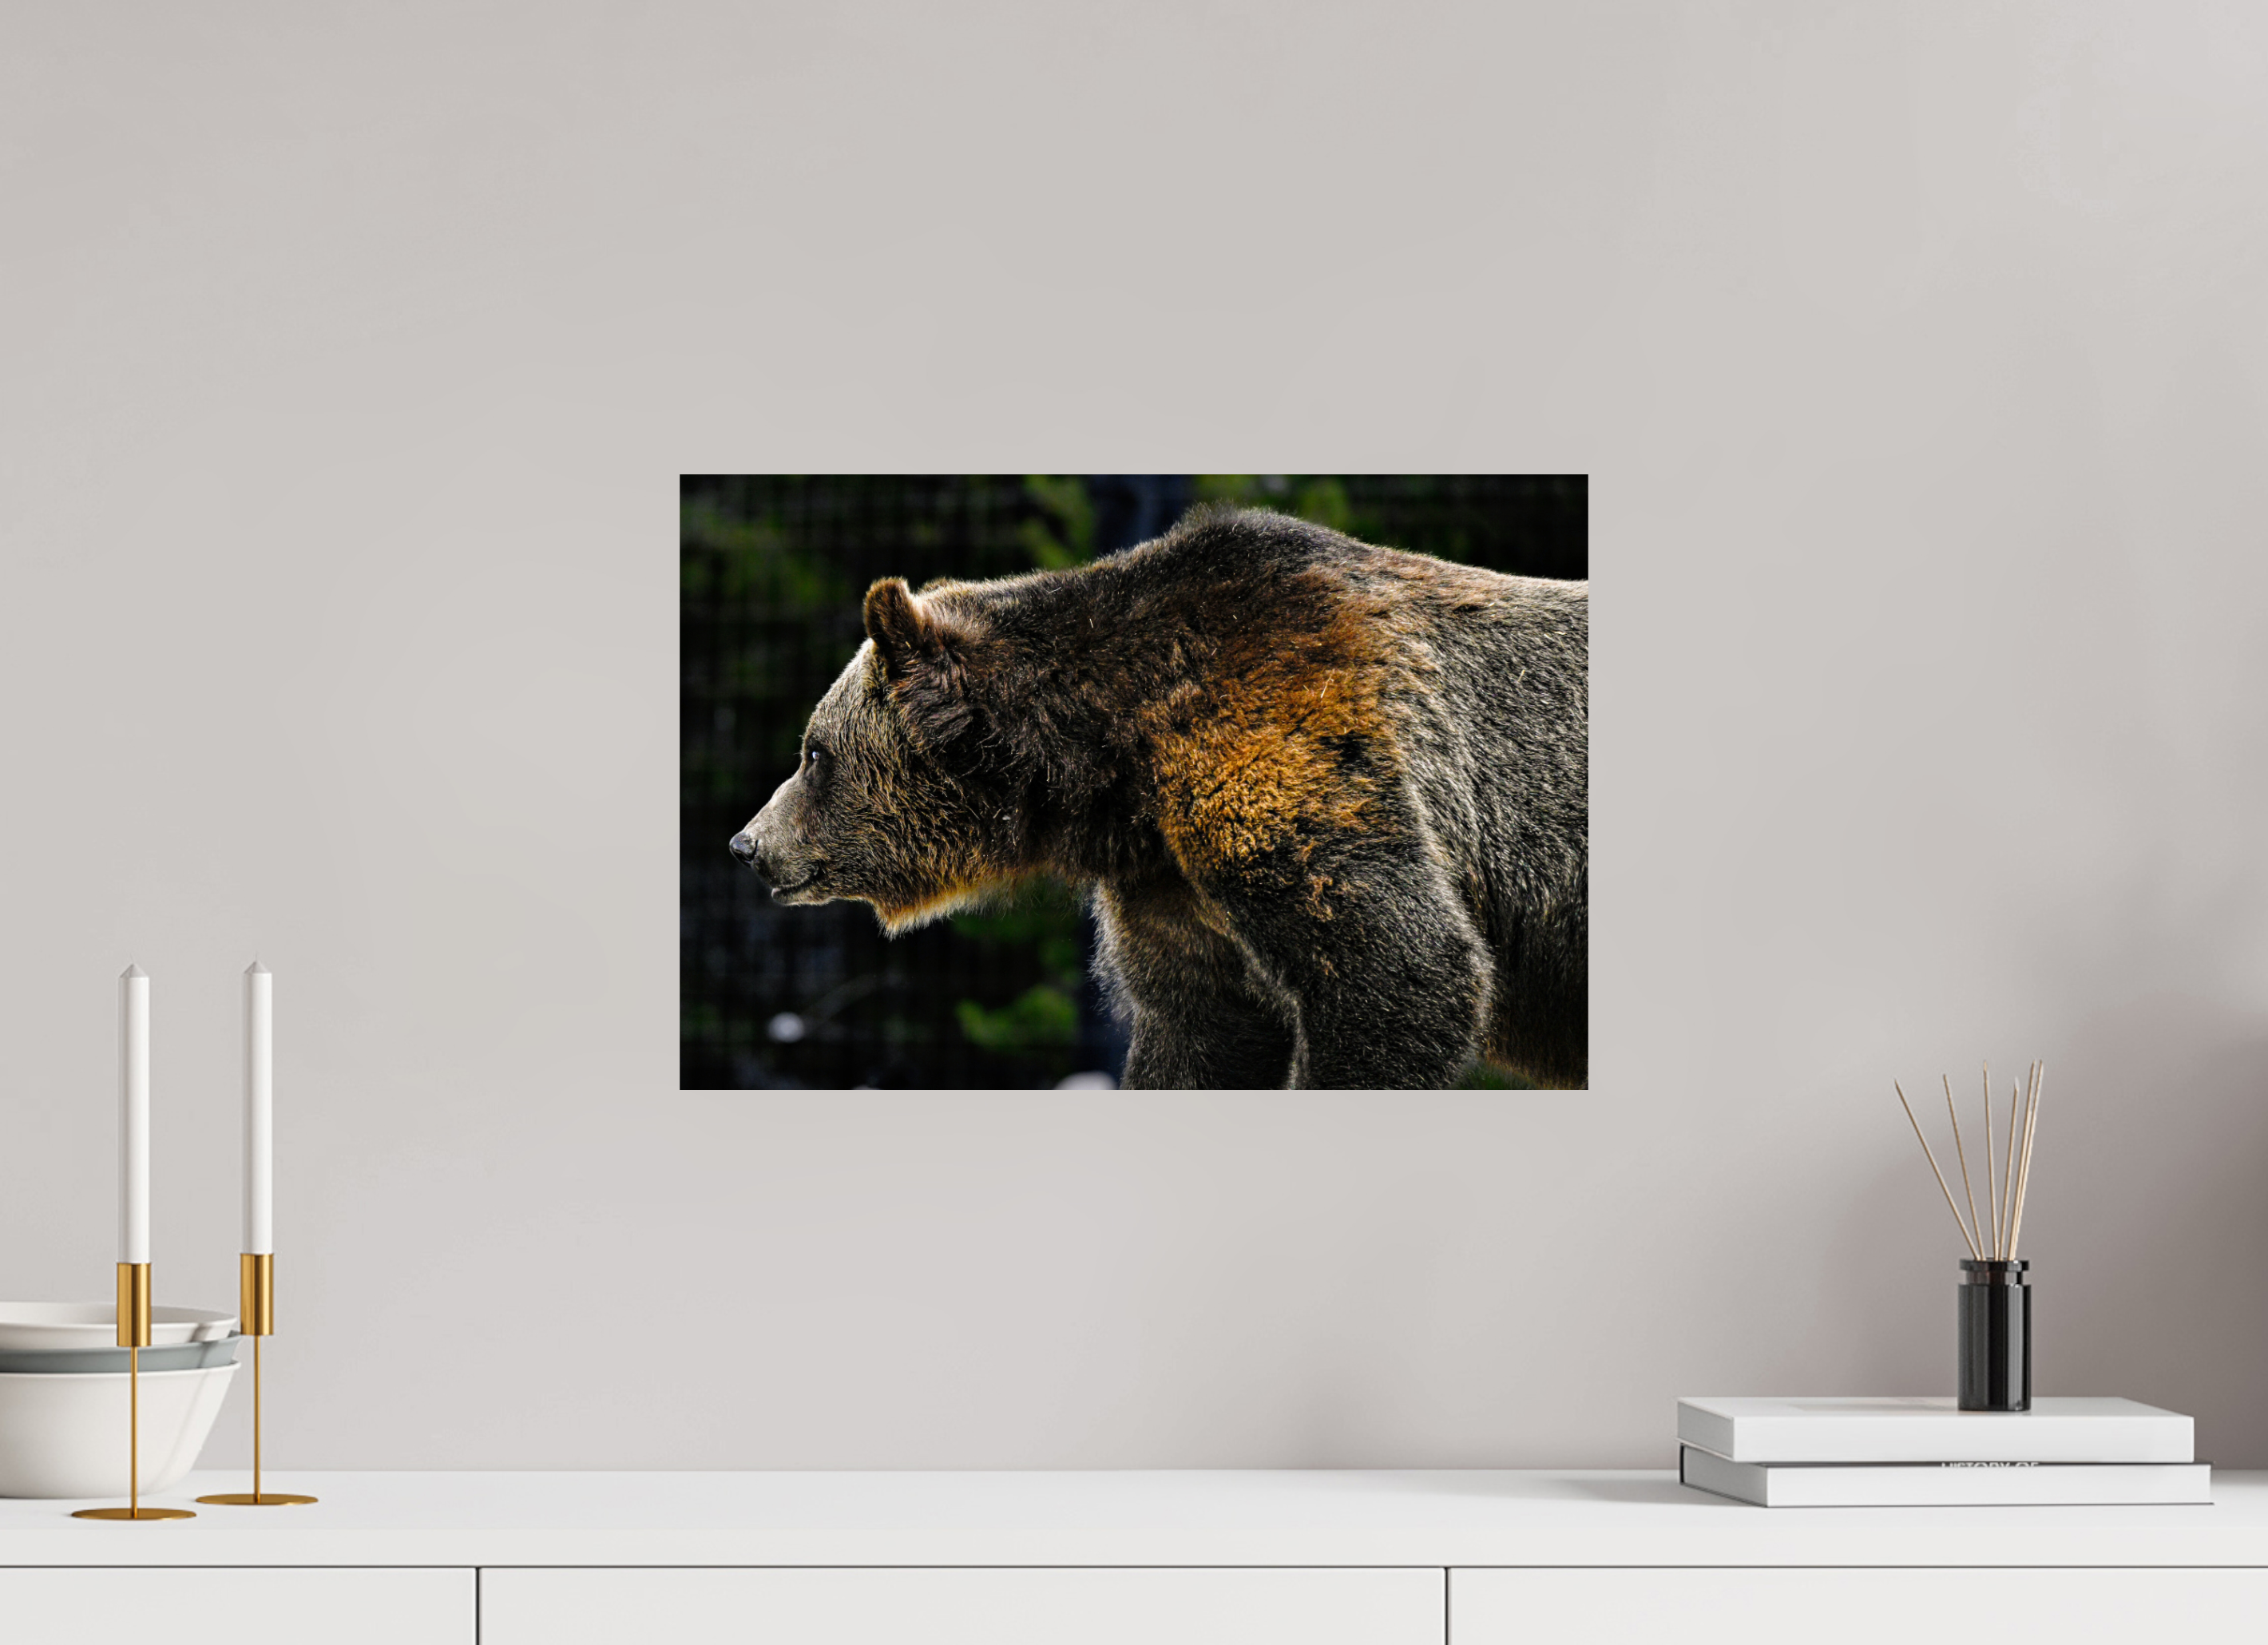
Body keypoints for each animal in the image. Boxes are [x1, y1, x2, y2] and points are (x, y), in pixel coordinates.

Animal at [729, 506, 1587, 1090]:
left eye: (814, 753)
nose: (747, 844)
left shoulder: (1282, 755)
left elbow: (1403, 973)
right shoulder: (1169, 883)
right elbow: (1198, 1028)